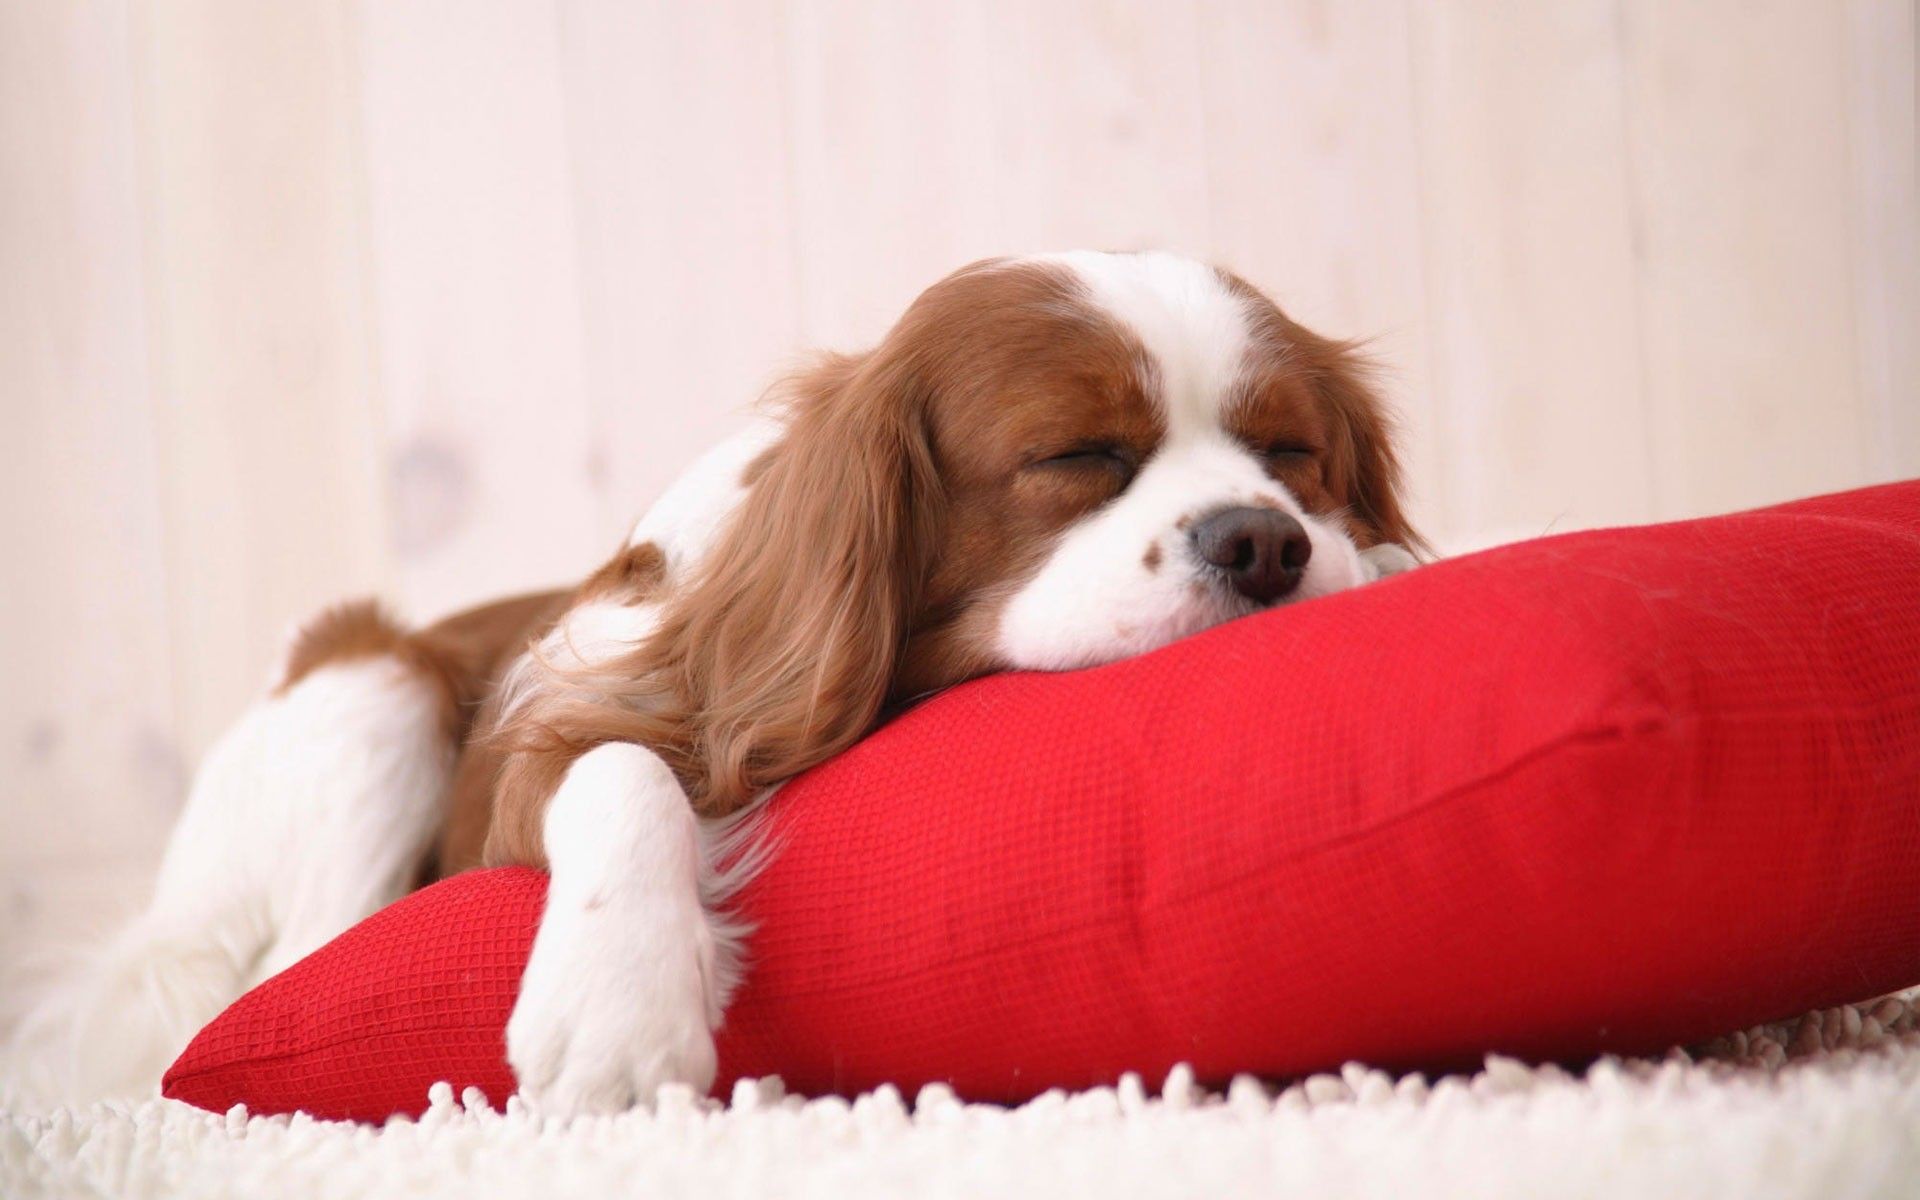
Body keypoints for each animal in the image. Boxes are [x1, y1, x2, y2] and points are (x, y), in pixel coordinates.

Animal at [3, 249, 1428, 1113]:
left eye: (1292, 454)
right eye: (1077, 456)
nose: (1264, 543)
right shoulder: (539, 759)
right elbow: (622, 768)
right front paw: (616, 1007)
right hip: (369, 689)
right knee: (289, 964)